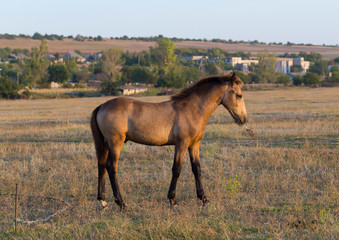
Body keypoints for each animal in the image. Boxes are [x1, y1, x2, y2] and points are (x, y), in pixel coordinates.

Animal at [91, 72, 248, 209]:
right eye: (239, 95)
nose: (243, 119)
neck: (192, 109)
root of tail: (102, 106)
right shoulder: (181, 144)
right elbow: (176, 169)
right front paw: (172, 200)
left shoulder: (194, 145)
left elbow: (196, 169)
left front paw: (203, 198)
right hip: (115, 143)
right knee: (111, 168)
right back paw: (121, 203)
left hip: (106, 144)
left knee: (101, 165)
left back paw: (103, 201)